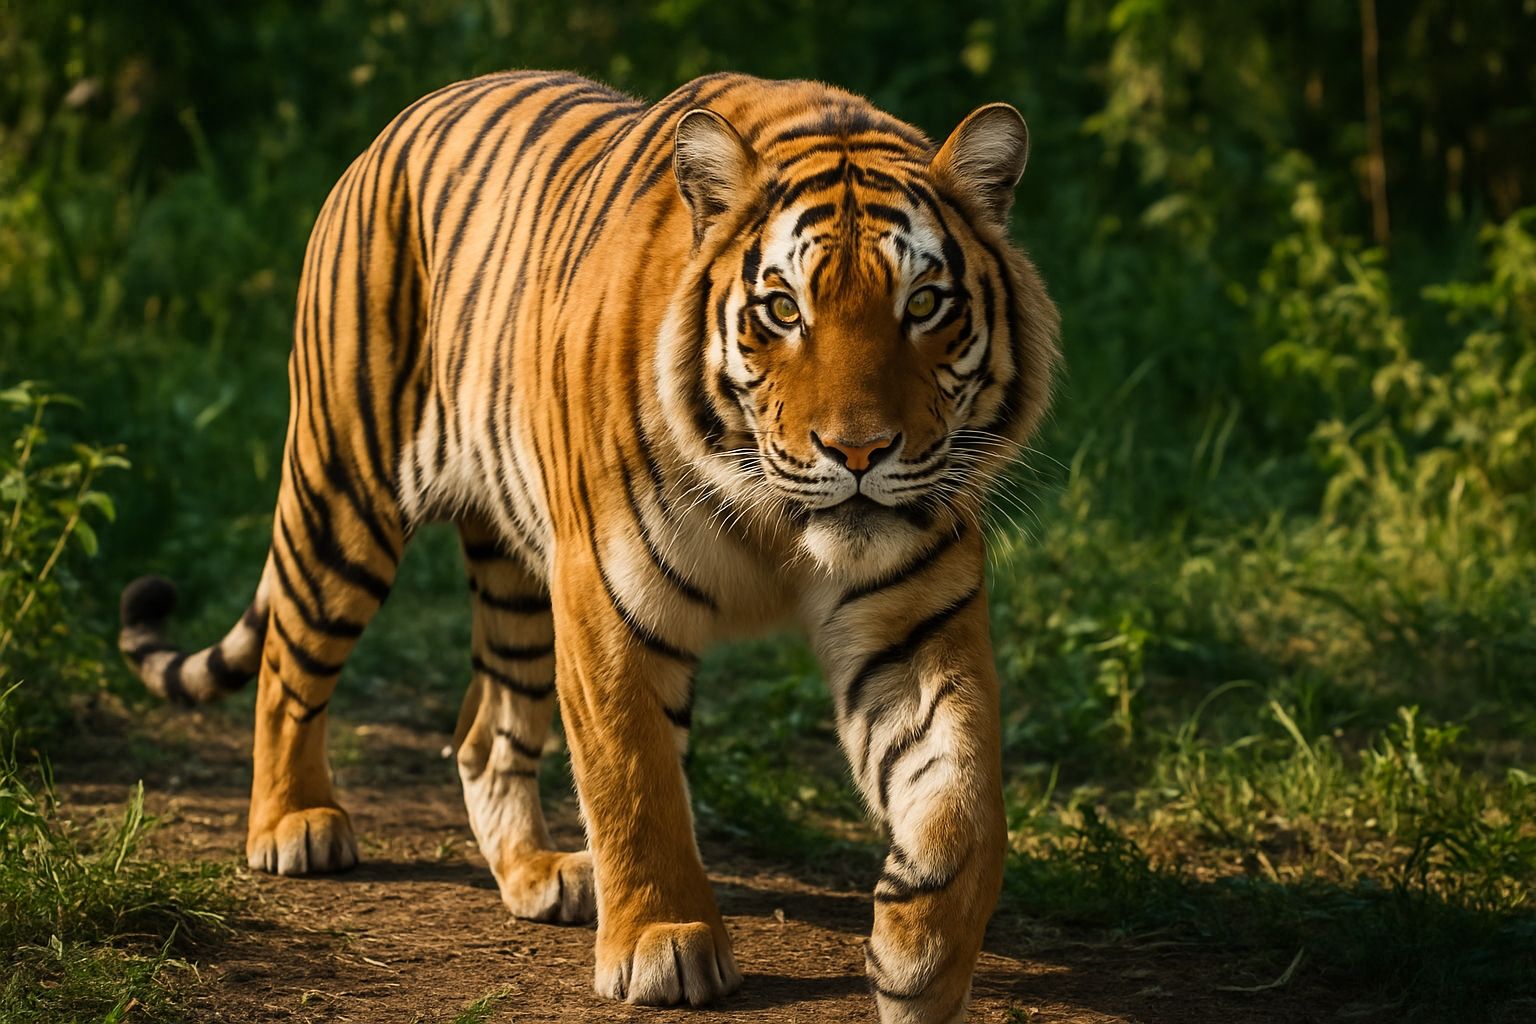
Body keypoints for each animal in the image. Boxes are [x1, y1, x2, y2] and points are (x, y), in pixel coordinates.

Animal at [117, 70, 1059, 1021]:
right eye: (783, 309)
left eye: (925, 305)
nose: (858, 453)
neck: (775, 516)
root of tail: (400, 123)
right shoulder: (609, 593)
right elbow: (633, 777)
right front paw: (662, 942)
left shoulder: (915, 620)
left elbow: (965, 793)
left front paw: (921, 959)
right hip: (342, 490)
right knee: (289, 661)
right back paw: (292, 824)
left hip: (517, 578)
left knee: (484, 729)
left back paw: (537, 874)